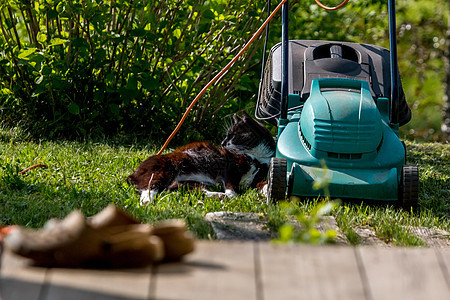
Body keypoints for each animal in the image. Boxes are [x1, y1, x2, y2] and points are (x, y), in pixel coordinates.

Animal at [126, 111, 274, 205]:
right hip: (162, 171)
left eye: (232, 135)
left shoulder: (260, 175)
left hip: (190, 182)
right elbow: (231, 185)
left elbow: (263, 183)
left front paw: (268, 192)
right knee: (148, 189)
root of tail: (134, 172)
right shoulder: (231, 168)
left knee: (187, 189)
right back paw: (147, 202)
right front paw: (235, 197)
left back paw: (219, 195)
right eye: (227, 135)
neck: (257, 157)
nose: (222, 143)